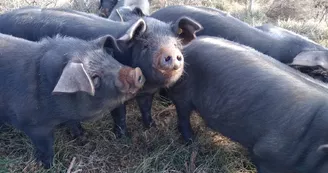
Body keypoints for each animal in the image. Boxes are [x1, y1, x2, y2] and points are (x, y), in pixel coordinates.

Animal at [0, 6, 202, 137]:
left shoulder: (146, 93)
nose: (171, 54)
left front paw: (152, 126)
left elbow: (146, 109)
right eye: (146, 45)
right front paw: (123, 137)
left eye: (176, 44)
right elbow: (120, 114)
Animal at [0, 33, 145, 168]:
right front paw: (47, 165)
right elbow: (45, 145)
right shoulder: (34, 126)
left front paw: (83, 137)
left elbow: (74, 124)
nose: (136, 72)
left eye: (110, 57)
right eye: (95, 78)